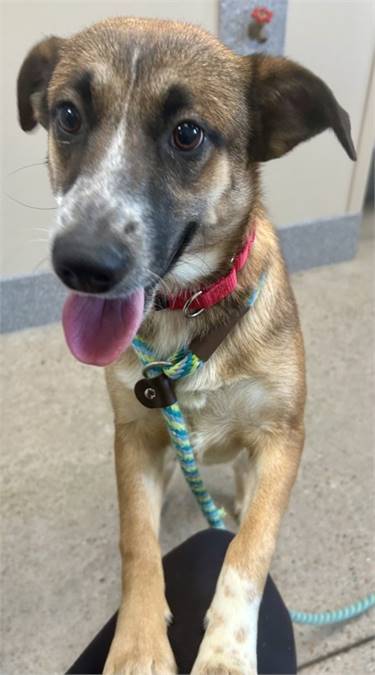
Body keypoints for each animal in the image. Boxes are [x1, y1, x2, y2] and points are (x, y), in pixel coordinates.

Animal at [17, 17, 356, 675]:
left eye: (187, 133)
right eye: (67, 115)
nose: (81, 265)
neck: (189, 317)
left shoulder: (283, 437)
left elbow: (247, 553)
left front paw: (226, 652)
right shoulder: (134, 438)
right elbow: (137, 544)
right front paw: (138, 645)